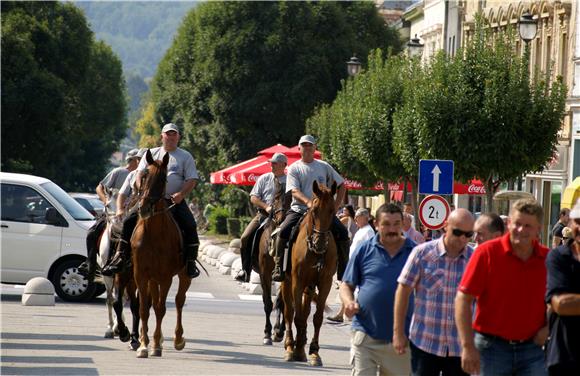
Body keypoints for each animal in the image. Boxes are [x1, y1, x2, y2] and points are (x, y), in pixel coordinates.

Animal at [132, 150, 193, 358]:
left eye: (162, 179)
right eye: (143, 176)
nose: (144, 208)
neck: (153, 233)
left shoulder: (165, 277)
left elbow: (160, 309)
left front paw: (156, 345)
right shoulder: (141, 275)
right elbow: (143, 309)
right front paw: (143, 345)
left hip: (183, 275)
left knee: (179, 301)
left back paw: (178, 338)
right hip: (152, 278)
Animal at [280, 181, 338, 366]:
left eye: (332, 210)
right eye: (314, 210)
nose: (319, 243)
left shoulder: (325, 282)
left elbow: (316, 317)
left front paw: (314, 352)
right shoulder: (297, 281)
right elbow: (297, 317)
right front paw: (294, 350)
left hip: (310, 286)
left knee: (305, 314)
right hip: (287, 282)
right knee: (289, 313)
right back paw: (290, 346)